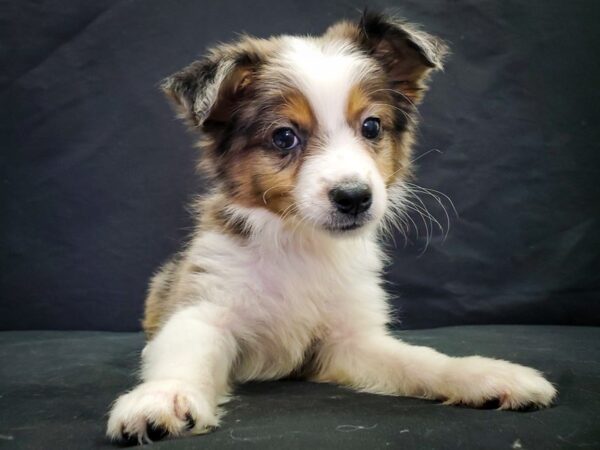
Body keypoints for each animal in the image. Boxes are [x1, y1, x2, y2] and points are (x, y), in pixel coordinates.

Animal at [105, 11, 556, 446]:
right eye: (284, 137)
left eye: (372, 127)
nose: (354, 197)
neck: (301, 243)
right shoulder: (206, 305)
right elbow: (186, 354)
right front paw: (166, 395)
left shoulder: (349, 340)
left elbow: (420, 361)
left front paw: (482, 375)